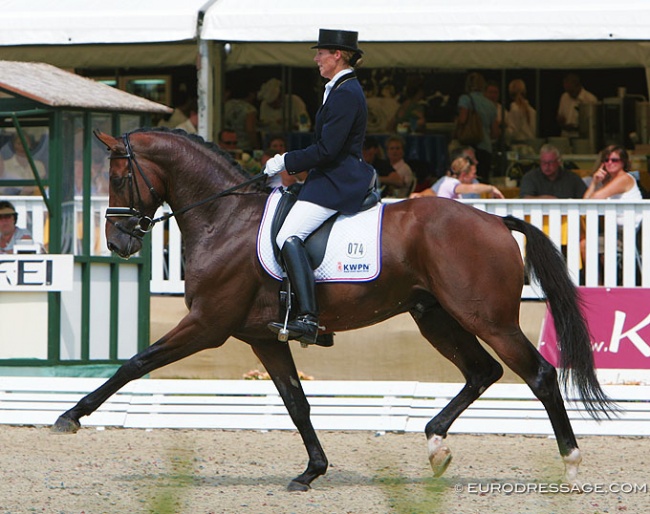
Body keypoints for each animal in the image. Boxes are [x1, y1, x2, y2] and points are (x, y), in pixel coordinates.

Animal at [52, 127, 612, 488]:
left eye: (119, 178)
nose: (118, 242)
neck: (224, 218)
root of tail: (496, 220)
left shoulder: (207, 324)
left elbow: (135, 362)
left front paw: (71, 416)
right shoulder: (262, 336)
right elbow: (295, 401)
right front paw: (311, 471)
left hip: (486, 318)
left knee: (539, 374)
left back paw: (572, 464)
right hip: (434, 316)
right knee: (481, 372)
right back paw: (436, 446)